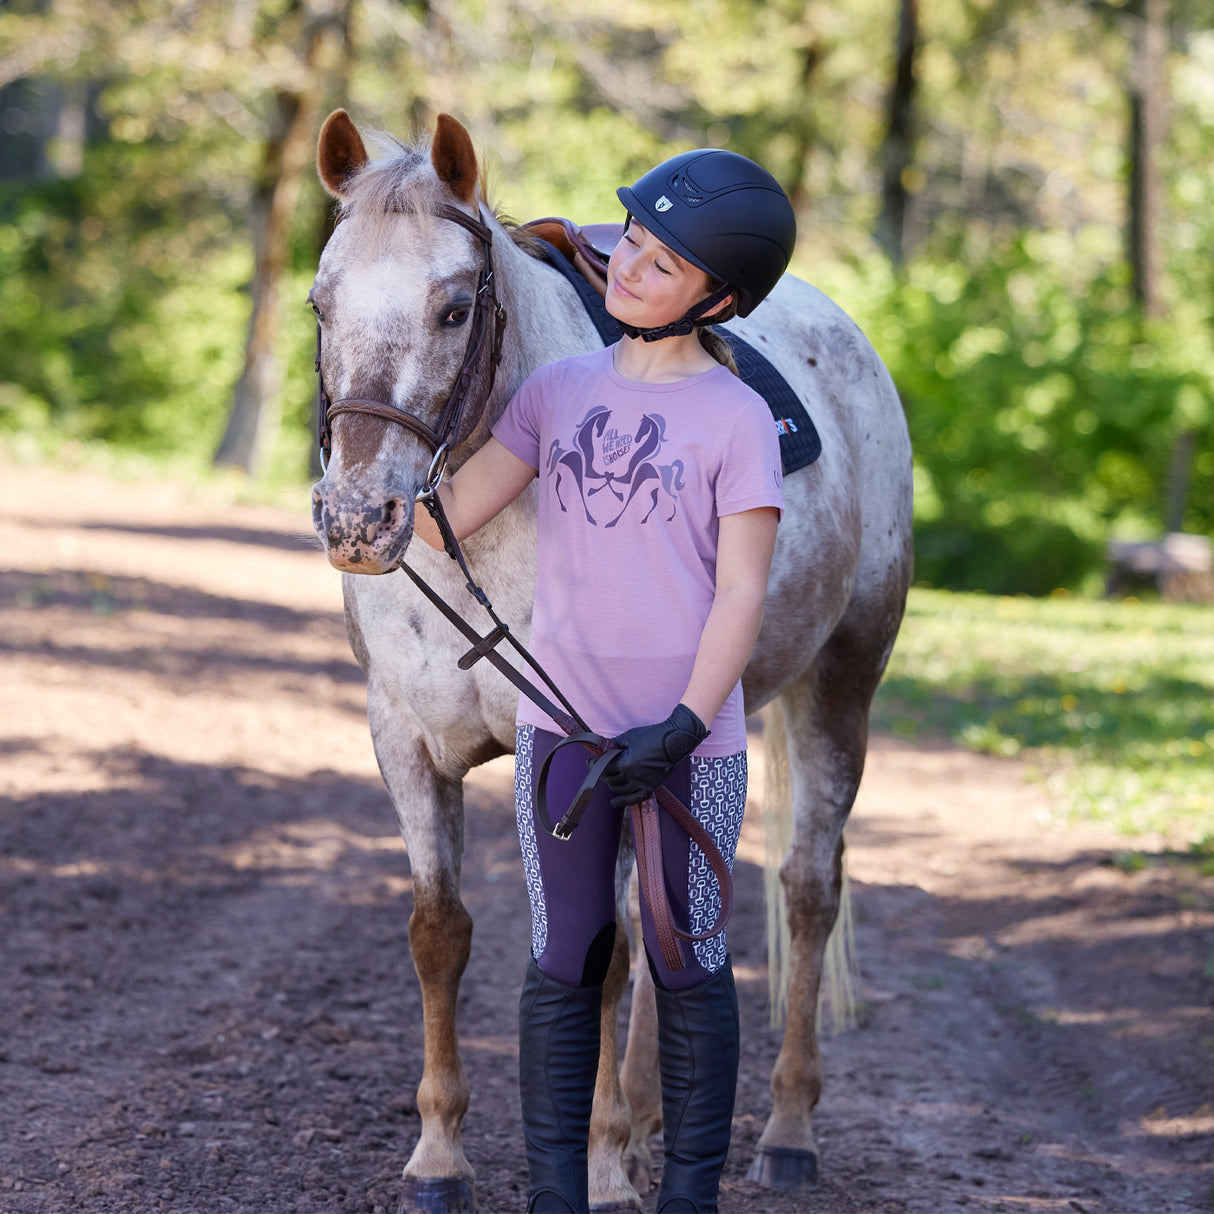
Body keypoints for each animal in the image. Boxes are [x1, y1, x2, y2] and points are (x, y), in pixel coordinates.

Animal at [310, 106, 912, 1214]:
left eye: (453, 307)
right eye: (320, 303)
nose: (359, 518)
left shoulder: (591, 747)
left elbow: (604, 950)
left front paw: (597, 1163)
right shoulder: (403, 738)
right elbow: (440, 931)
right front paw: (439, 1154)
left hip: (838, 687)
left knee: (806, 890)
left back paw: (785, 1130)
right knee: (669, 911)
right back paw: (652, 1113)